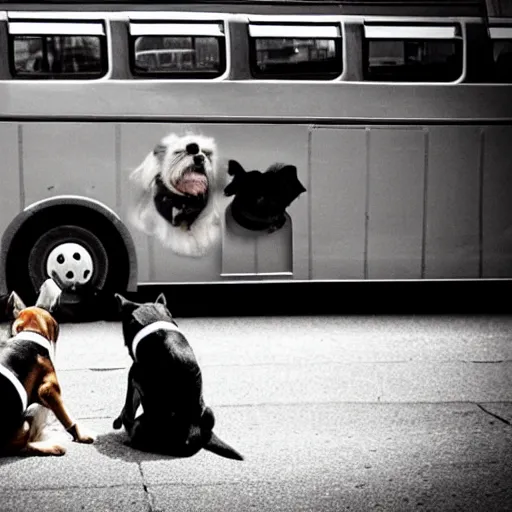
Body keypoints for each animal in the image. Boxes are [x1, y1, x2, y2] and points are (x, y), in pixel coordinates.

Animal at [0, 282, 93, 458]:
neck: (31, 332)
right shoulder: (48, 389)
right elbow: (67, 418)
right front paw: (81, 435)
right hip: (24, 425)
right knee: (17, 448)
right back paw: (52, 447)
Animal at [113, 292, 243, 460]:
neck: (154, 321)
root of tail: (189, 441)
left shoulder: (133, 376)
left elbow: (128, 408)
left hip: (142, 423)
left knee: (135, 433)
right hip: (209, 411)